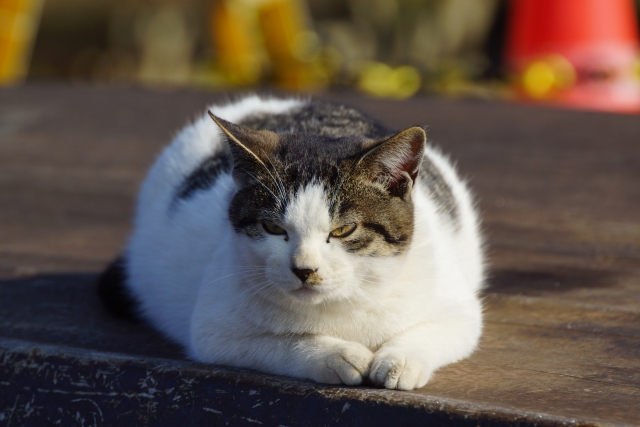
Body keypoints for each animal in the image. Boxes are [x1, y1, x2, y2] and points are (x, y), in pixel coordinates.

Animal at [97, 94, 482, 392]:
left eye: (344, 230)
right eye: (271, 227)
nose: (304, 269)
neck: (340, 305)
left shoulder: (459, 308)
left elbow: (437, 330)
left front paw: (399, 360)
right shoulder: (215, 329)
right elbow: (279, 343)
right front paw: (336, 355)